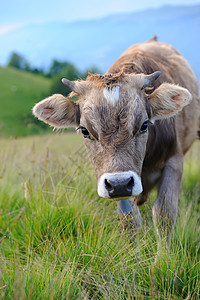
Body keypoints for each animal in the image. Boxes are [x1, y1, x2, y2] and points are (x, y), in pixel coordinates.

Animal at [33, 37, 200, 253]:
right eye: (84, 130)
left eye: (144, 125)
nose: (119, 183)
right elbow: (130, 221)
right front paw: (134, 257)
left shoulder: (174, 161)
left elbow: (164, 214)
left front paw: (163, 258)